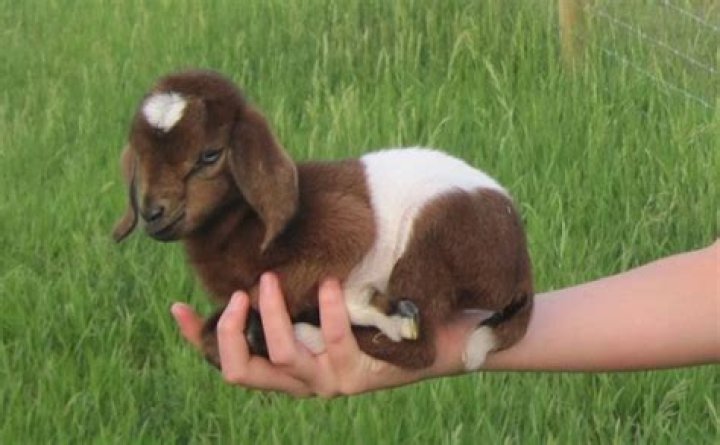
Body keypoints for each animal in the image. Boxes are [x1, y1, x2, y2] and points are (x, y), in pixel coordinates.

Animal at [113, 70, 533, 370]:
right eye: (140, 154)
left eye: (210, 155)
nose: (153, 213)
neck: (241, 224)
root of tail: (520, 269)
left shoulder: (346, 229)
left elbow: (269, 290)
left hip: (434, 236)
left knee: (421, 349)